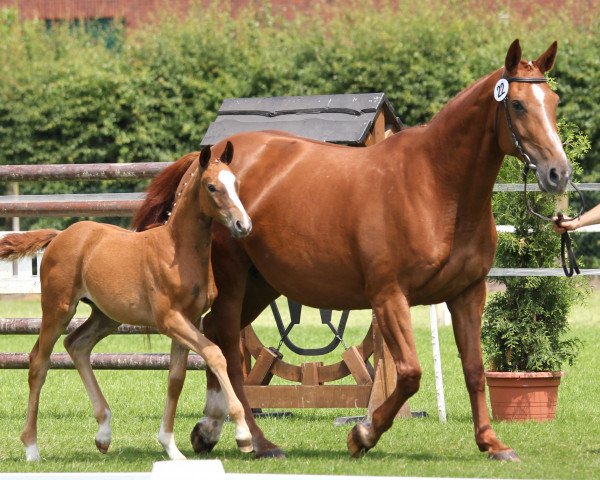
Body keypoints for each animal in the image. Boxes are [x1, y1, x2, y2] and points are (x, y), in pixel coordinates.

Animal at [0, 143, 252, 462]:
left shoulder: (190, 319)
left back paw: (103, 434)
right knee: (38, 363)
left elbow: (176, 379)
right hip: (58, 309)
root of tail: (59, 236)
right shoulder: (169, 320)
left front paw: (170, 447)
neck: (177, 250)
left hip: (106, 316)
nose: (243, 225)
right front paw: (243, 435)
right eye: (212, 187)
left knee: (76, 345)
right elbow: (215, 354)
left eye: (237, 184)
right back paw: (32, 447)